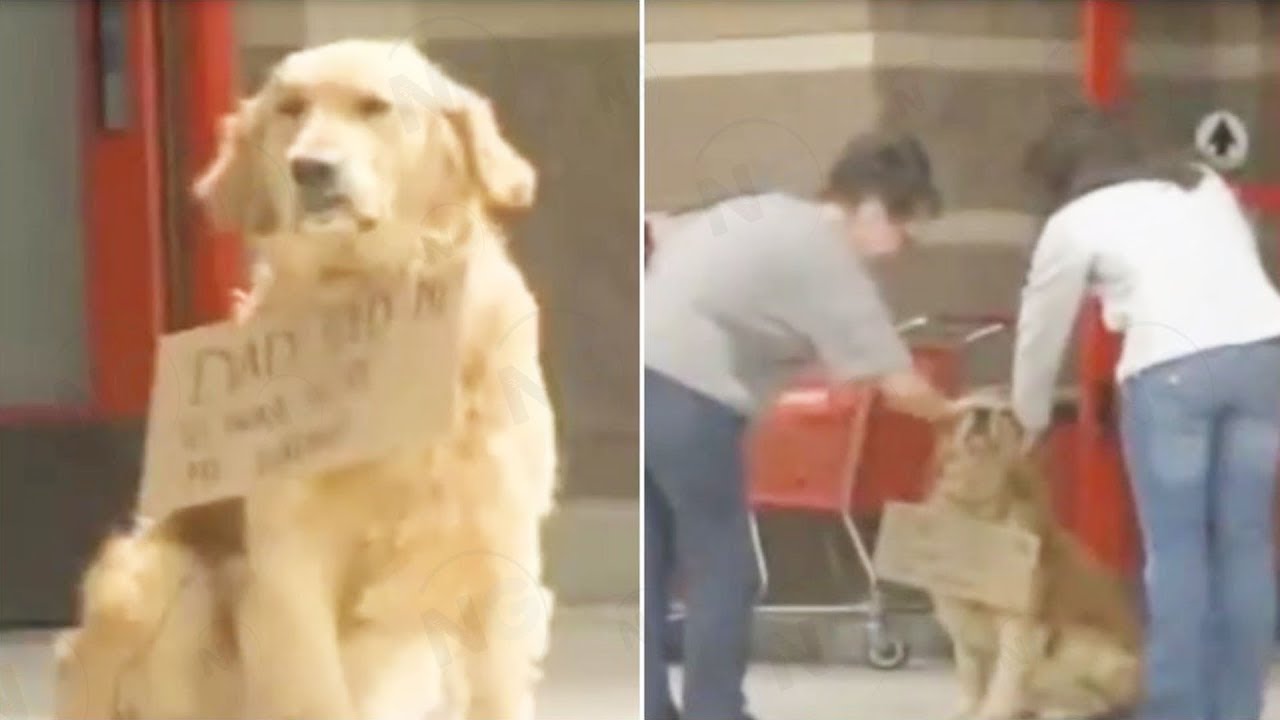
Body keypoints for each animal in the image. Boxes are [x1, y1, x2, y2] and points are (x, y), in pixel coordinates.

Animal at [53, 39, 555, 717]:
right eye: (290, 109)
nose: (310, 168)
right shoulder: (290, 562)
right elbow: (311, 688)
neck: (368, 300)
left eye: (374, 107)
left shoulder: (499, 548)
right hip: (148, 578)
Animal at [926, 386, 1146, 717]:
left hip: (1077, 644)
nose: (981, 413)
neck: (978, 514)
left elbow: (1004, 680)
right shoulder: (958, 617)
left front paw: (993, 711)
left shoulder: (1021, 627)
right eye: (965, 408)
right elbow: (969, 672)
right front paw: (968, 708)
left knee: (1095, 701)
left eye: (1004, 413)